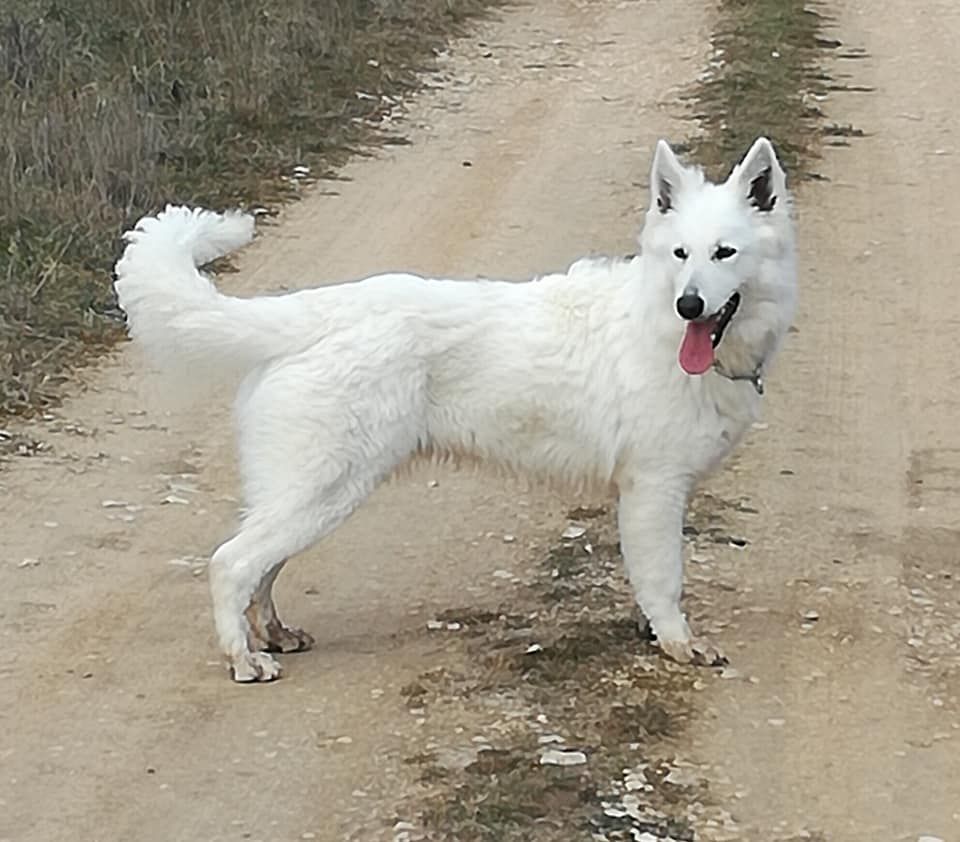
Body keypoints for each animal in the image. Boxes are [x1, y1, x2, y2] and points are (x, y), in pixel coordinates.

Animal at [116, 135, 800, 680]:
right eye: (682, 254)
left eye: (724, 253)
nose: (690, 305)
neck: (661, 326)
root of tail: (312, 313)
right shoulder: (655, 489)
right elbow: (665, 581)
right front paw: (679, 644)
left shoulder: (649, 498)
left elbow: (649, 578)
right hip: (326, 488)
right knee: (231, 564)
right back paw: (244, 658)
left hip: (302, 490)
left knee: (262, 569)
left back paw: (275, 635)